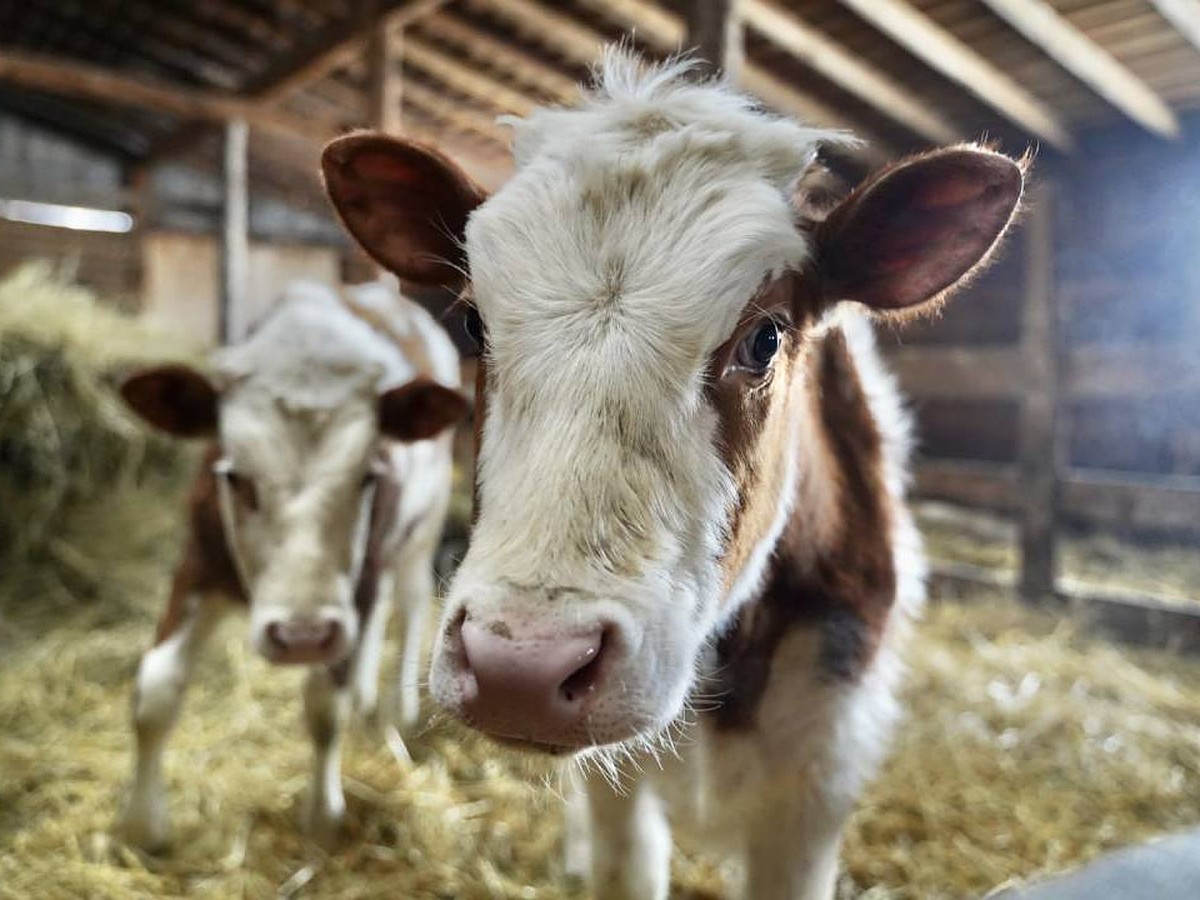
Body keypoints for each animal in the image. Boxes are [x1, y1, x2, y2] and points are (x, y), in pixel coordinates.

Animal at [115, 282, 463, 854]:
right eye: (236, 477)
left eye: (367, 477)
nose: (301, 638)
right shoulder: (198, 563)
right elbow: (157, 687)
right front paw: (142, 827)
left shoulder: (354, 590)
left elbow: (324, 706)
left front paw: (322, 819)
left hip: (420, 531)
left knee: (409, 604)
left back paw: (397, 710)